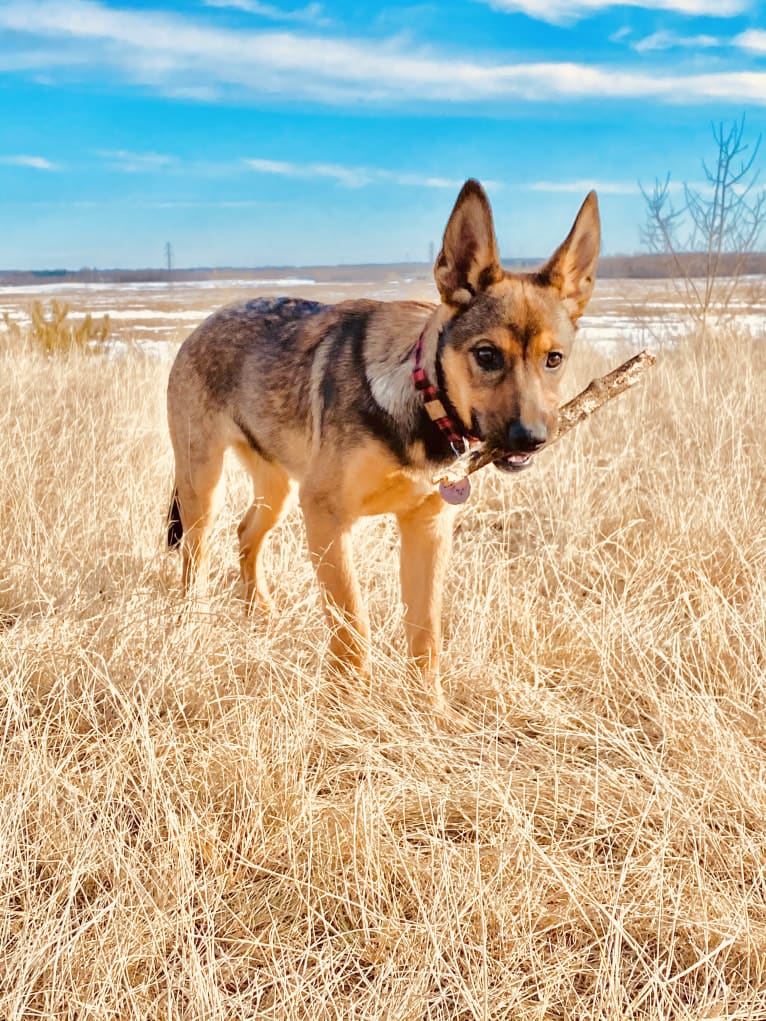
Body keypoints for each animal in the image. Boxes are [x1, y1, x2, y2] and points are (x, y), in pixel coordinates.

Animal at [166, 177, 600, 702]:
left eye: (554, 359)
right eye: (487, 355)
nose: (531, 439)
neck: (421, 400)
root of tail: (204, 322)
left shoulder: (427, 529)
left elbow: (426, 637)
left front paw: (430, 712)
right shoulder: (326, 518)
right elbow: (353, 629)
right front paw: (350, 706)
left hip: (278, 489)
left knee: (245, 532)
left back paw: (259, 612)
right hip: (202, 486)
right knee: (195, 557)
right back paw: (190, 623)